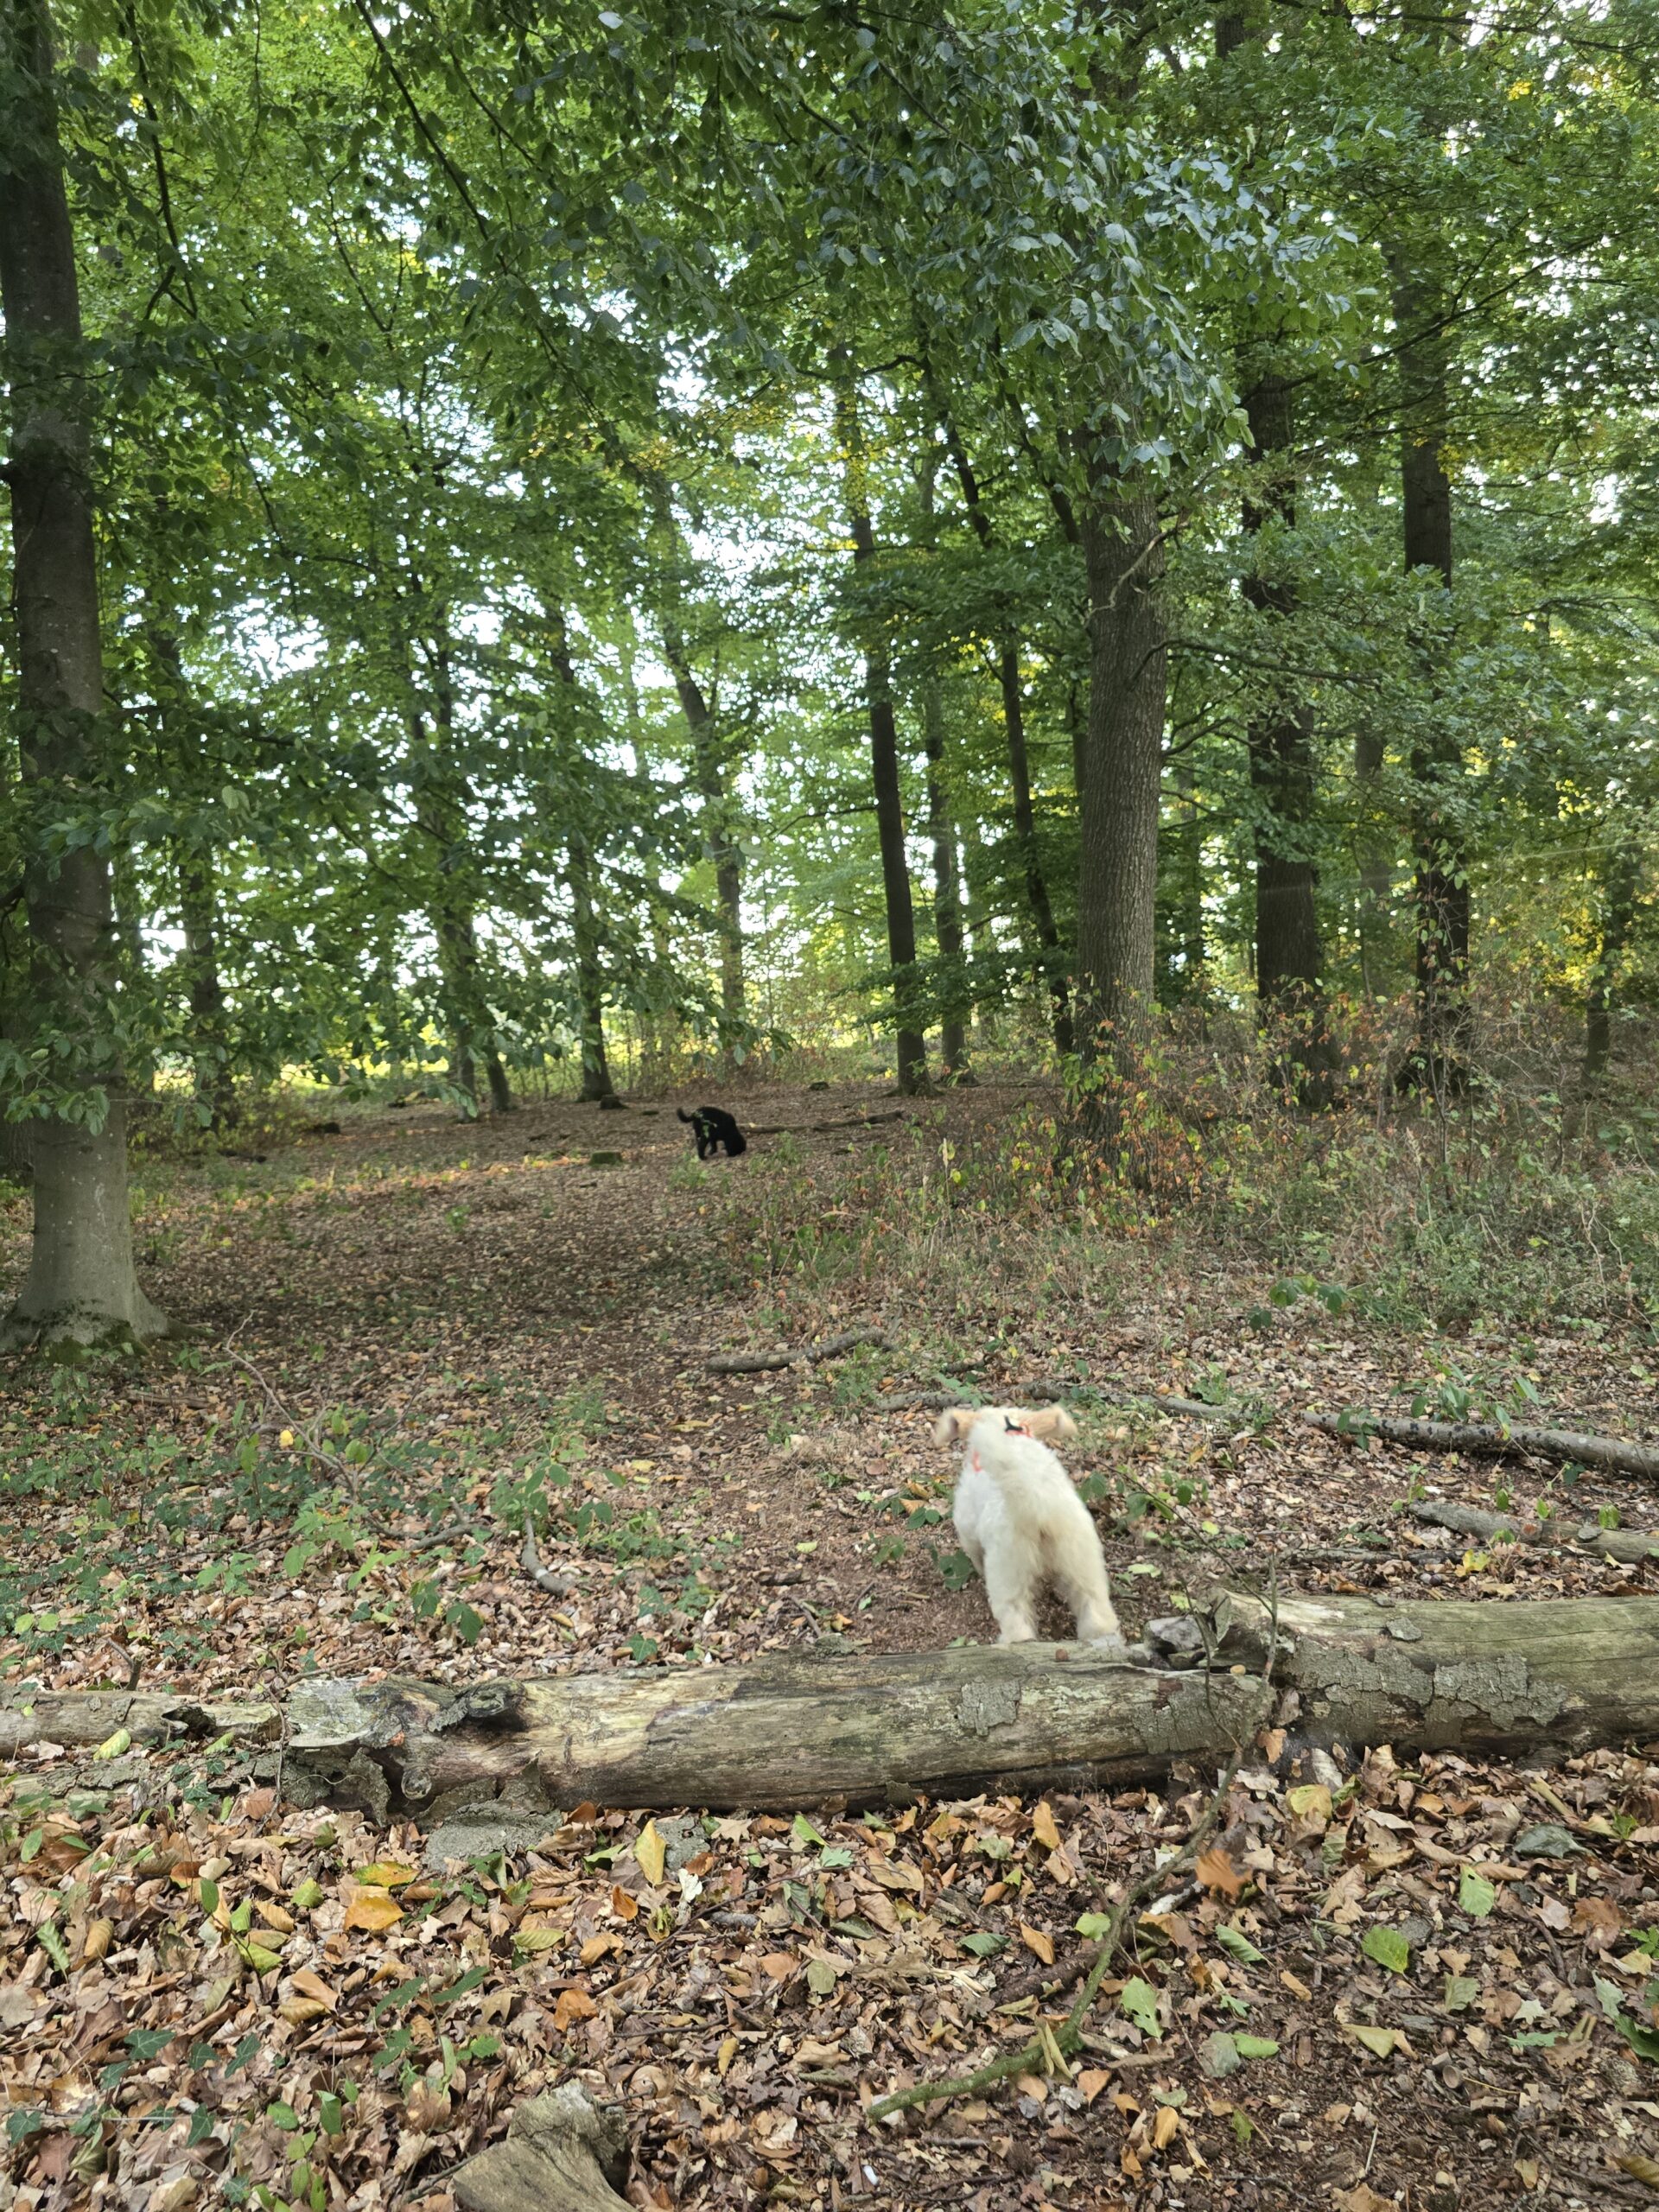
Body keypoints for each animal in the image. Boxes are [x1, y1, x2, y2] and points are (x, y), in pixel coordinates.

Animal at [934, 1405, 1123, 1648]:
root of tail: (1038, 1503)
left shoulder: (966, 1525)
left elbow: (974, 1553)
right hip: (1085, 1567)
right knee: (1097, 1614)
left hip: (1008, 1574)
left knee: (1017, 1624)